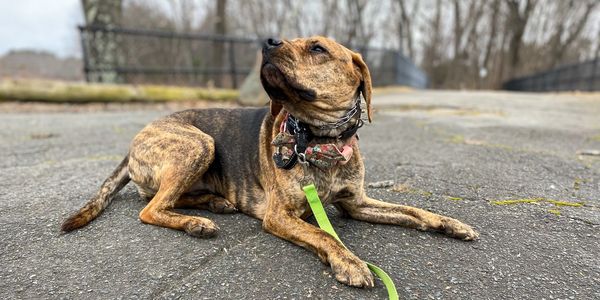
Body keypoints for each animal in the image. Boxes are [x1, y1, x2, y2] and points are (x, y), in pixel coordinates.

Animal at [63, 36, 478, 288]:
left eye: (318, 48)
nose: (267, 41)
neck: (319, 141)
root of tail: (138, 136)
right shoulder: (280, 215)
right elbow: (324, 234)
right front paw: (350, 262)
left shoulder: (357, 203)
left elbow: (412, 210)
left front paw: (450, 223)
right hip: (199, 143)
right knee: (150, 208)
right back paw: (197, 222)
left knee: (162, 198)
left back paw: (213, 203)